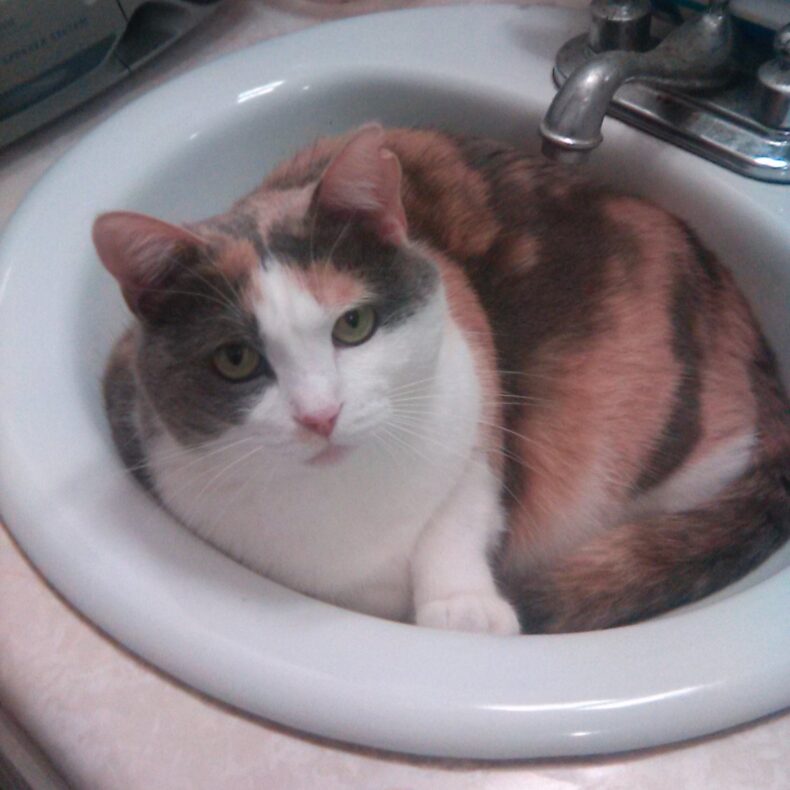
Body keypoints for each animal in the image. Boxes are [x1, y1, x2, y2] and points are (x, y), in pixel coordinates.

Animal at [94, 124, 790, 634]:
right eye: (235, 360)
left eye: (354, 325)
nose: (320, 415)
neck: (343, 507)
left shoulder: (479, 401)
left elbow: (458, 513)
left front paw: (463, 608)